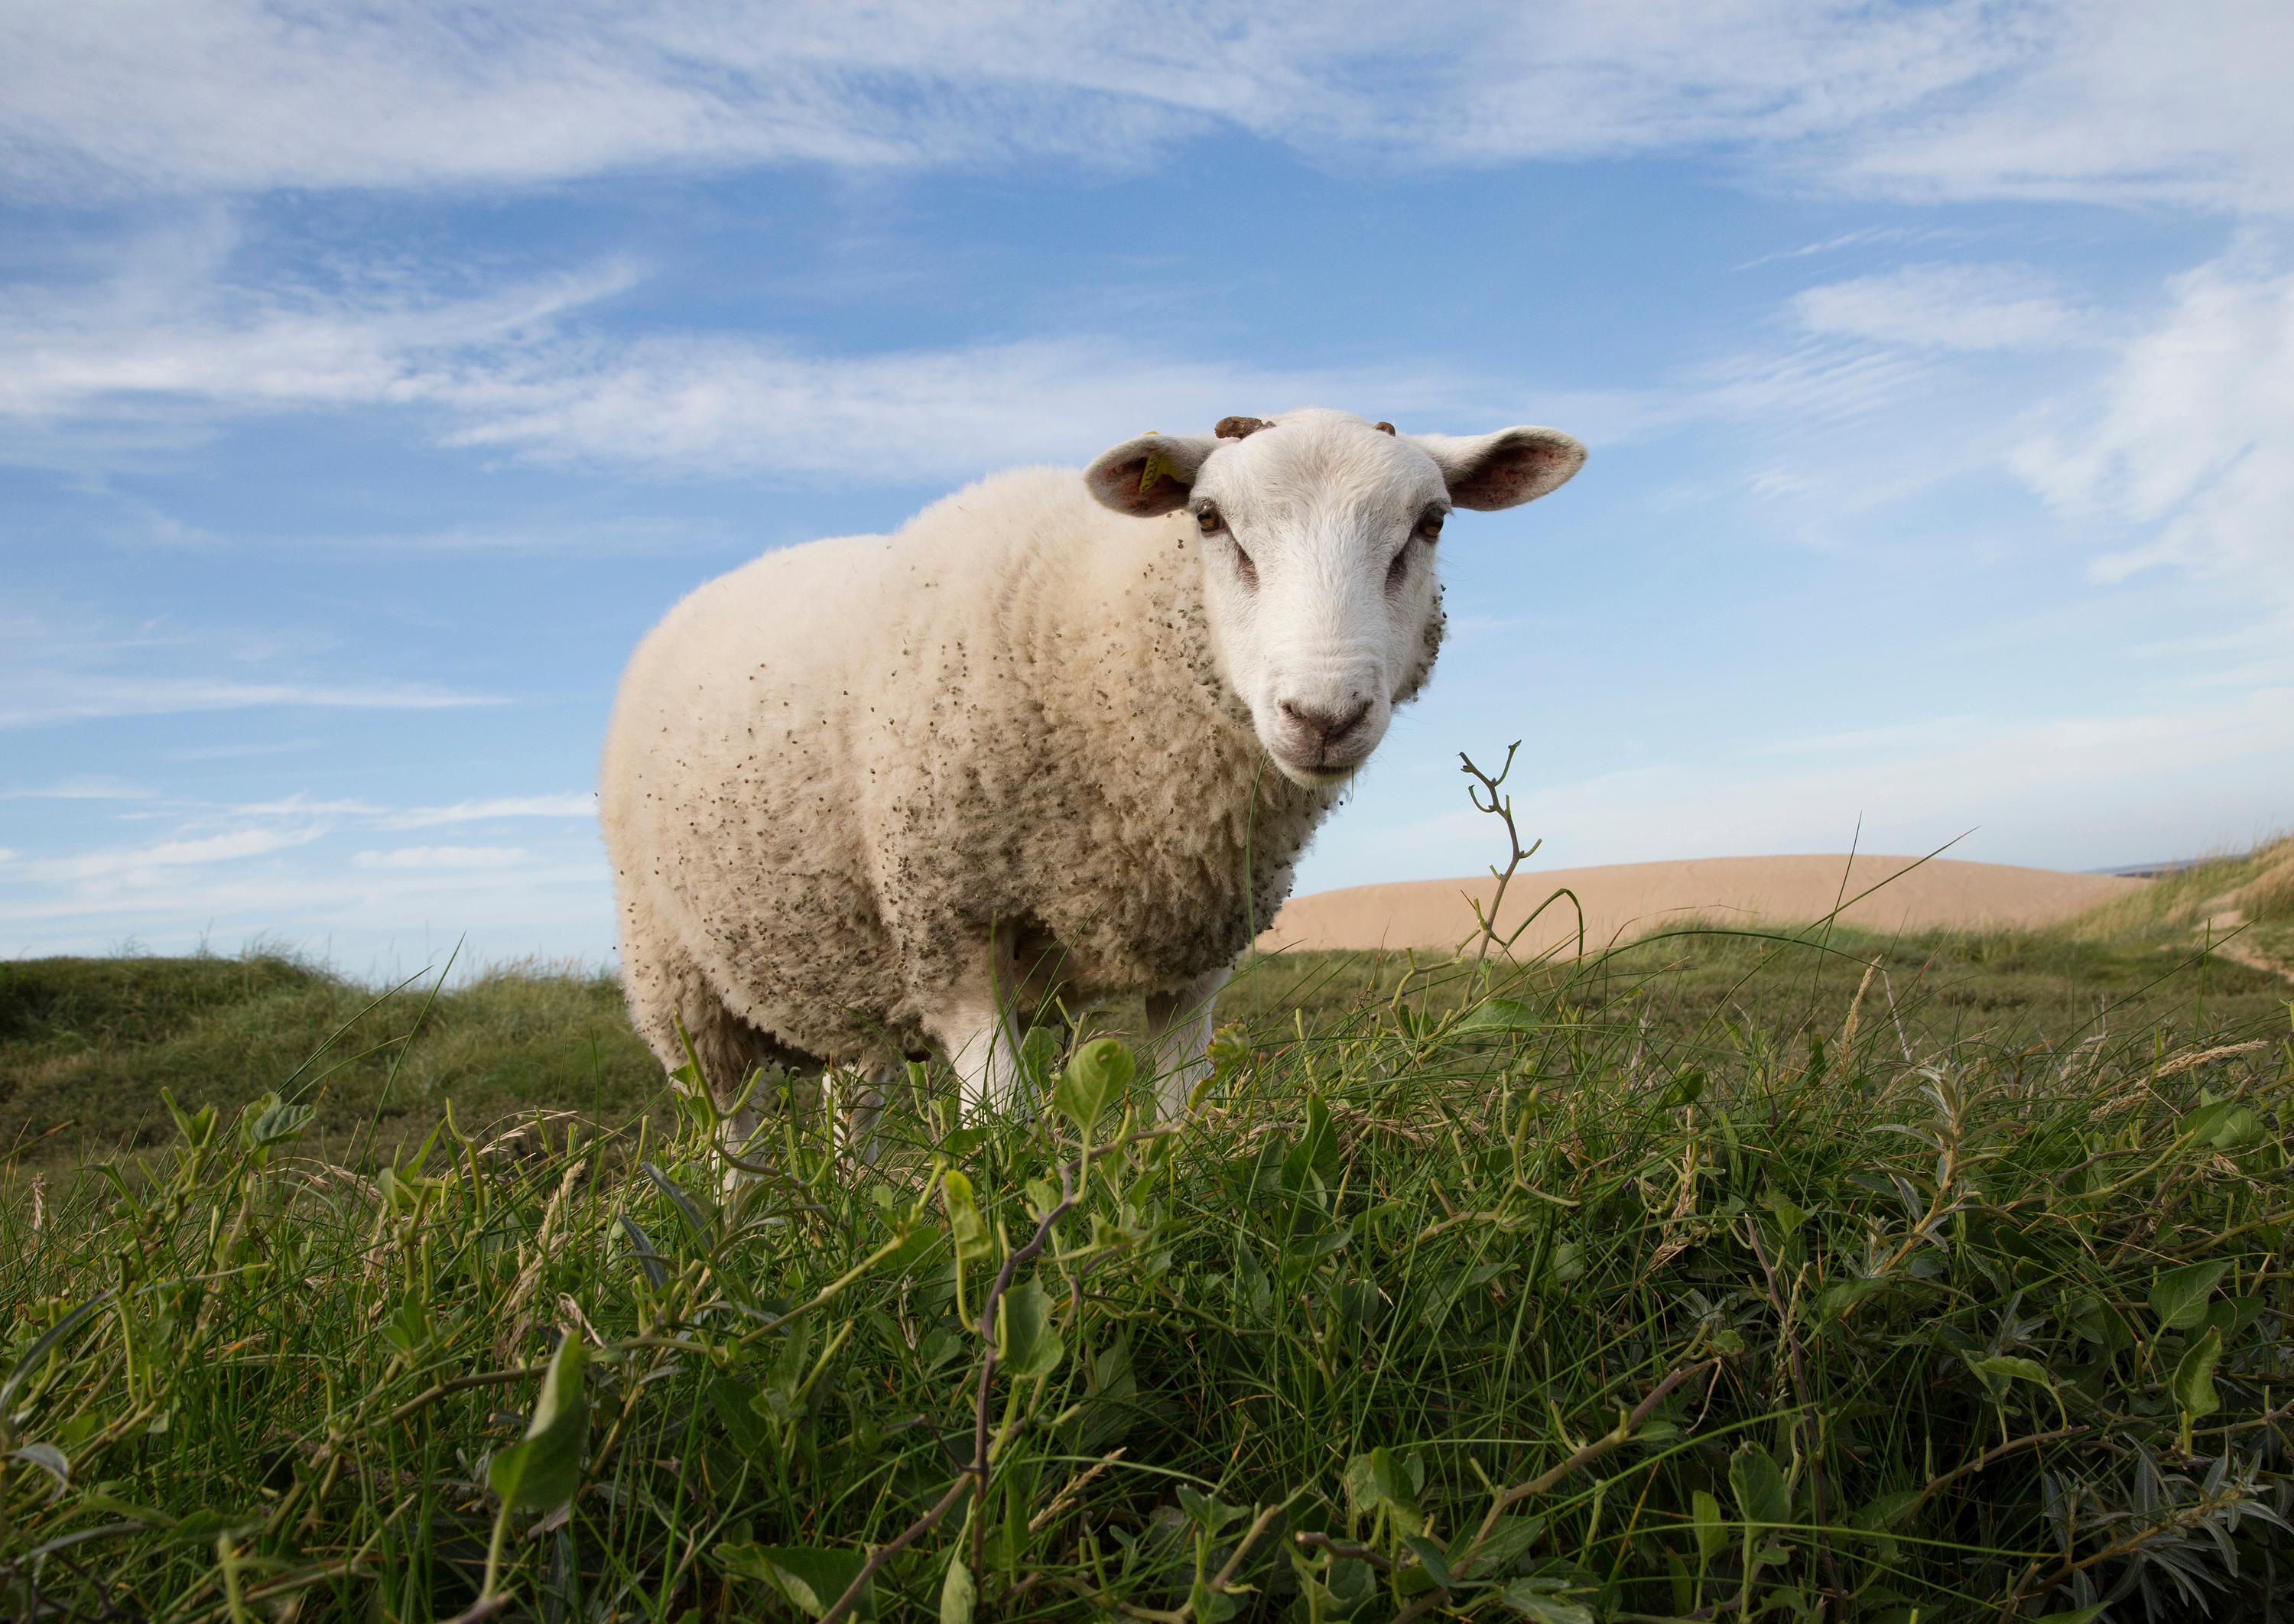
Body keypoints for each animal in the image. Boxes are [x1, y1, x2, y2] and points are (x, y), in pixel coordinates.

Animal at [601, 406, 1587, 1142]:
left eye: (1431, 523)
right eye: (1208, 520)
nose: (1323, 716)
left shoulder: (1195, 959)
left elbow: (1178, 1118)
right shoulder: (953, 931)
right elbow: (1008, 1133)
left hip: (844, 969)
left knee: (857, 1100)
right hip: (678, 981)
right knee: (732, 1137)